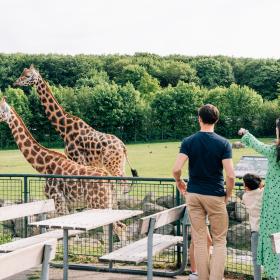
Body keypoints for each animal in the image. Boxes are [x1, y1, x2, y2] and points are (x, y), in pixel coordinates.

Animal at [0, 97, 126, 246]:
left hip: (99, 203)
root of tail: (109, 180)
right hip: (108, 203)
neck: (44, 166)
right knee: (113, 229)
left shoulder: (58, 200)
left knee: (119, 228)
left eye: (0, 109)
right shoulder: (66, 204)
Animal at [13, 65, 138, 195]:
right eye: (22, 73)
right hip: (119, 164)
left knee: (123, 183)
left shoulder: (79, 159)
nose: (15, 83)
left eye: (28, 75)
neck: (64, 129)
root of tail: (123, 147)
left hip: (112, 164)